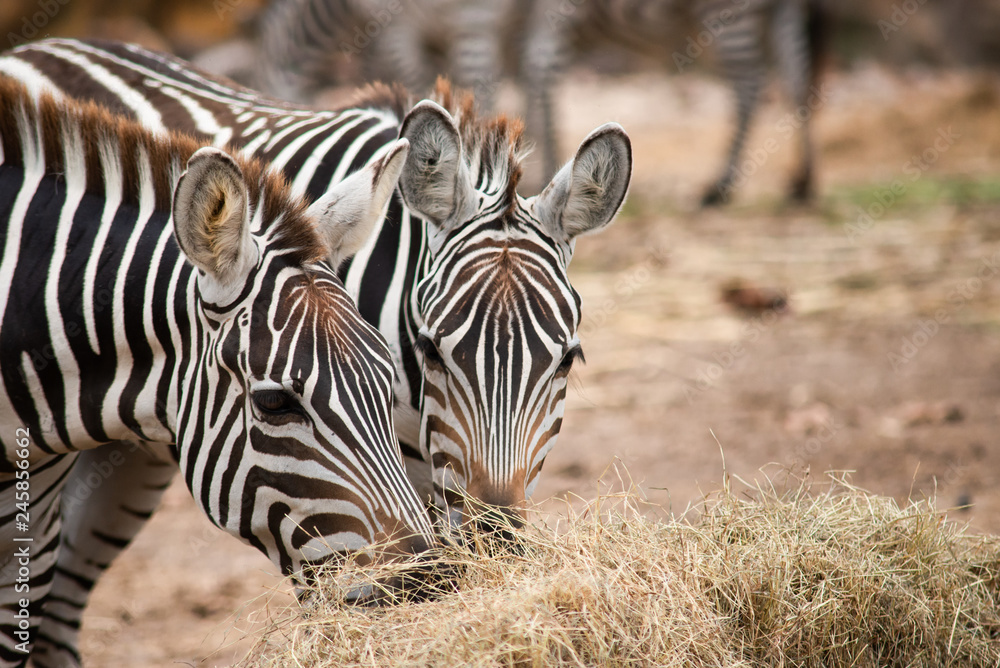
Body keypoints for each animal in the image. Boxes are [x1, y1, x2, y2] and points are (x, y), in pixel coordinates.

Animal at [249, 0, 827, 203]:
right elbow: (527, 86)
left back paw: (722, 185)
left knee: (752, 80)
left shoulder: (420, 23)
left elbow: (474, 81)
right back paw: (802, 181)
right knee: (798, 69)